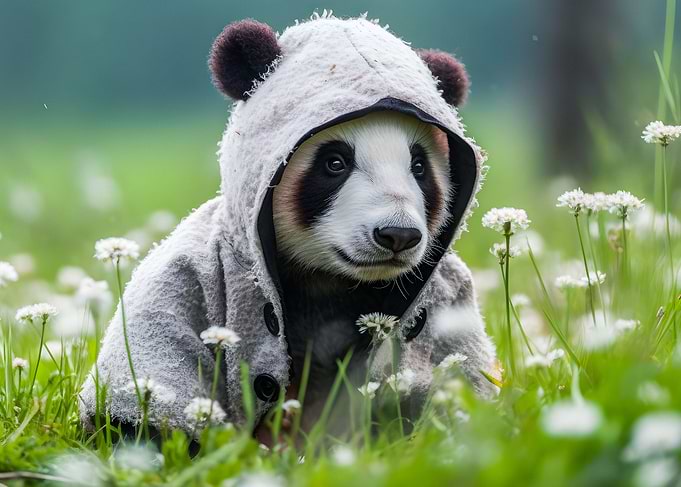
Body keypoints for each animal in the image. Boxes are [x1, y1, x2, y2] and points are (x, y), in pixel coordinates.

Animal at [80, 13, 498, 441]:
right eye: (335, 163)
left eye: (418, 167)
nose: (397, 235)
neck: (326, 278)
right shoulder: (191, 275)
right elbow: (161, 359)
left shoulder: (448, 293)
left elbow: (460, 375)